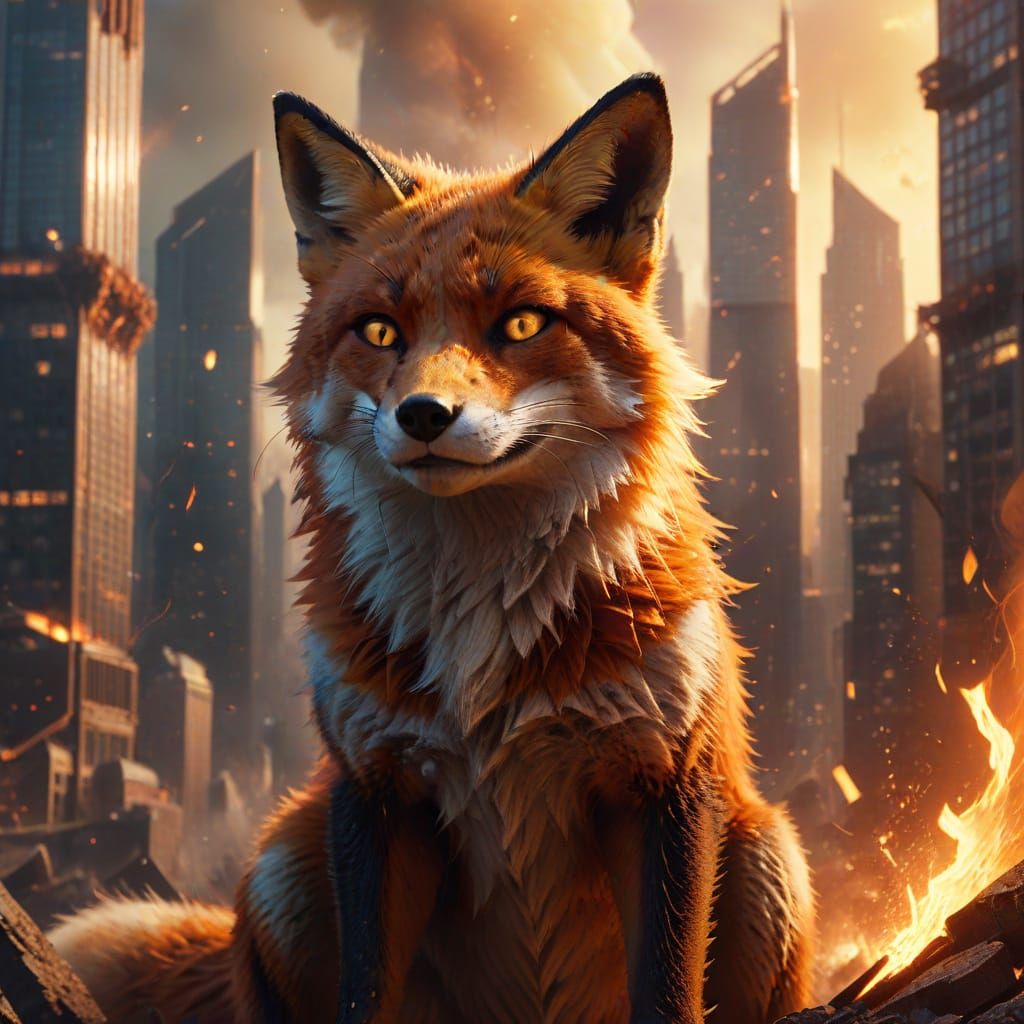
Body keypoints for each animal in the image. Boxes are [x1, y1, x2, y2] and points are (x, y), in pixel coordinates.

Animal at [50, 73, 813, 1023]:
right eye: (380, 331)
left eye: (521, 323)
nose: (422, 416)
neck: (483, 629)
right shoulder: (381, 790)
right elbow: (363, 994)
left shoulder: (663, 780)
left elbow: (669, 994)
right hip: (282, 866)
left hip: (770, 856)